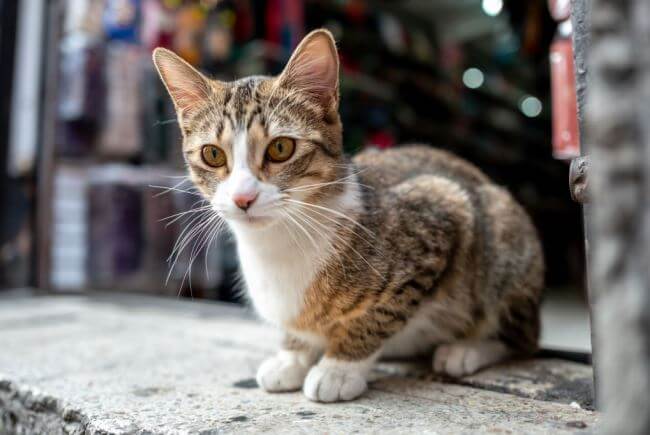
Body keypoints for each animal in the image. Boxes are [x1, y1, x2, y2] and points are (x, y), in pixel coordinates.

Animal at [153, 29, 540, 406]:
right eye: (213, 155)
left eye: (280, 148)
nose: (242, 197)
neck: (278, 241)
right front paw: (292, 356)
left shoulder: (441, 208)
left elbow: (379, 314)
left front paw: (339, 367)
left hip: (501, 237)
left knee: (521, 336)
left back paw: (465, 350)